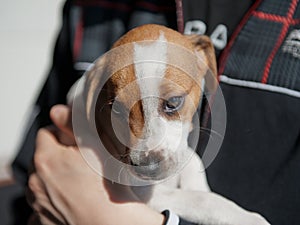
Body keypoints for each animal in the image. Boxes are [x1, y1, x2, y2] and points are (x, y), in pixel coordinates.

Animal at [69, 24, 270, 225]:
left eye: (173, 102)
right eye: (116, 110)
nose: (148, 167)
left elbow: (192, 160)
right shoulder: (144, 191)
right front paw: (248, 218)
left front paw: (197, 183)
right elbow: (201, 199)